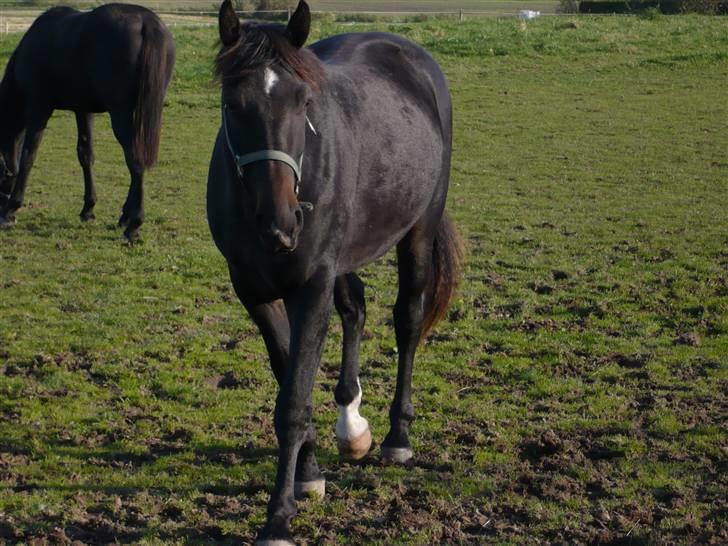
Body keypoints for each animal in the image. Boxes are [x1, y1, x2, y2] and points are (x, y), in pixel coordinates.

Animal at [0, 3, 176, 239]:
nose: (1, 209)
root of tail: (147, 22)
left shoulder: (39, 108)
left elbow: (28, 156)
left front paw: (12, 209)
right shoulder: (83, 110)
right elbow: (85, 155)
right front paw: (88, 209)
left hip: (120, 114)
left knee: (135, 160)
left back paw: (133, 225)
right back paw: (125, 217)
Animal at [208, 2, 464, 540]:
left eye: (303, 101)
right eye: (233, 103)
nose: (280, 222)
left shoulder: (310, 286)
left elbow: (293, 402)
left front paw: (279, 518)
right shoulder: (254, 291)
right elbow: (289, 378)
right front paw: (308, 472)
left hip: (418, 230)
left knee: (407, 319)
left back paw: (395, 436)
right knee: (356, 308)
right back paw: (353, 426)